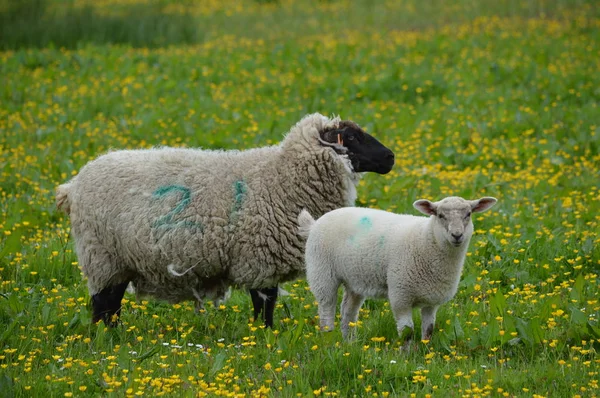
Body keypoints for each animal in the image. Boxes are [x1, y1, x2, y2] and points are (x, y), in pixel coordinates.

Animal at [55, 112, 394, 326]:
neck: (282, 178)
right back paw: (107, 342)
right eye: (351, 136)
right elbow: (265, 303)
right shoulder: (260, 259)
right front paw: (264, 336)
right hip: (102, 256)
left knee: (109, 306)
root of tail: (72, 186)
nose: (390, 157)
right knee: (104, 305)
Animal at [298, 197, 500, 344]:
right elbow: (407, 332)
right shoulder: (401, 294)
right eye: (440, 215)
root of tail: (315, 223)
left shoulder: (432, 300)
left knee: (348, 311)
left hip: (355, 279)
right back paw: (328, 340)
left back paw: (350, 343)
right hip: (322, 272)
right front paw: (406, 358)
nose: (457, 235)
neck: (427, 240)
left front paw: (426, 354)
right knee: (326, 310)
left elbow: (429, 330)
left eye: (469, 214)